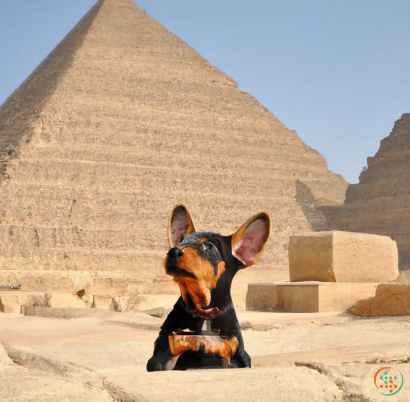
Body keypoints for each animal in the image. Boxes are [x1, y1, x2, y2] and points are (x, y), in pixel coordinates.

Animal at [146, 204, 270, 370]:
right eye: (180, 243)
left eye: (208, 246)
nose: (173, 251)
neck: (205, 314)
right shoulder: (162, 356)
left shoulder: (237, 356)